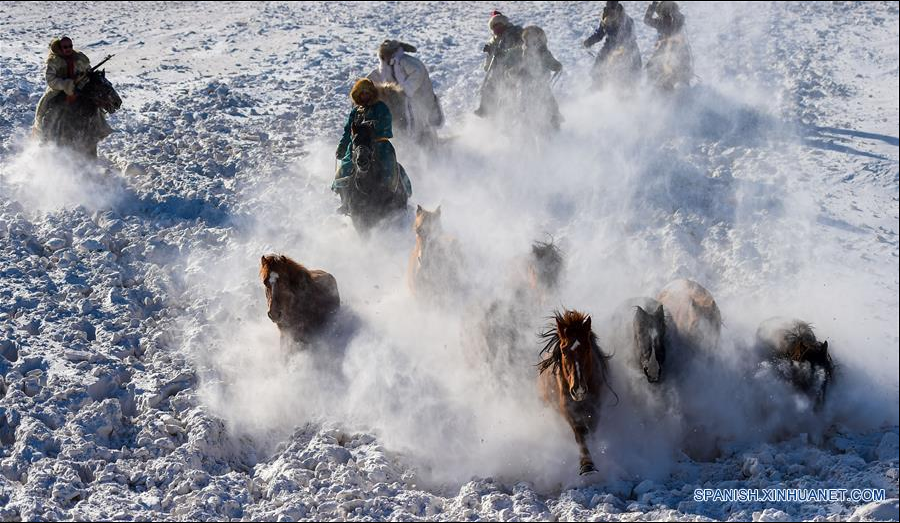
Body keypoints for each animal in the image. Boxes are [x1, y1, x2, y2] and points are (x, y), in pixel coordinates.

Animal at [536, 310, 616, 476]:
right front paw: (587, 465)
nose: (578, 389)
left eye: (587, 348)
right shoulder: (568, 409)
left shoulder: (595, 407)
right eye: (563, 350)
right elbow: (579, 433)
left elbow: (591, 431)